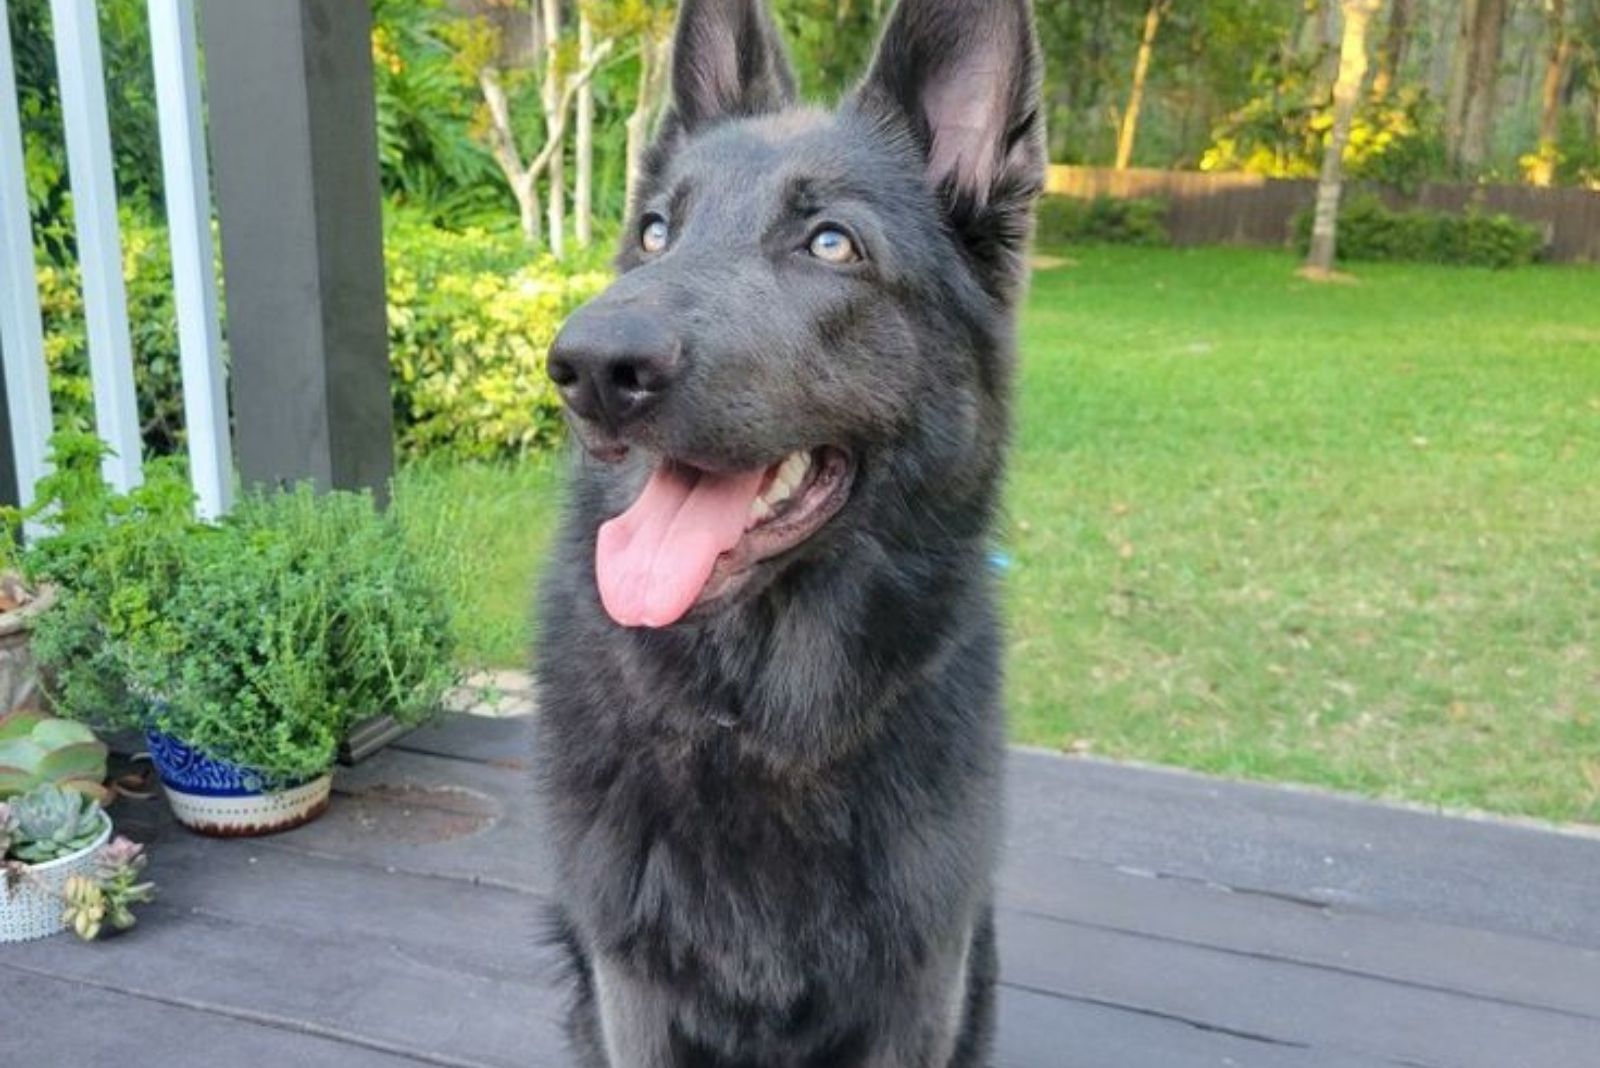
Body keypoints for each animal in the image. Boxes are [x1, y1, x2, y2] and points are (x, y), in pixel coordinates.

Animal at [531, 0, 1043, 1061]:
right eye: (654, 233)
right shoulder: (630, 991)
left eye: (831, 244)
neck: (762, 721)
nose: (588, 367)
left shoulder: (921, 989)